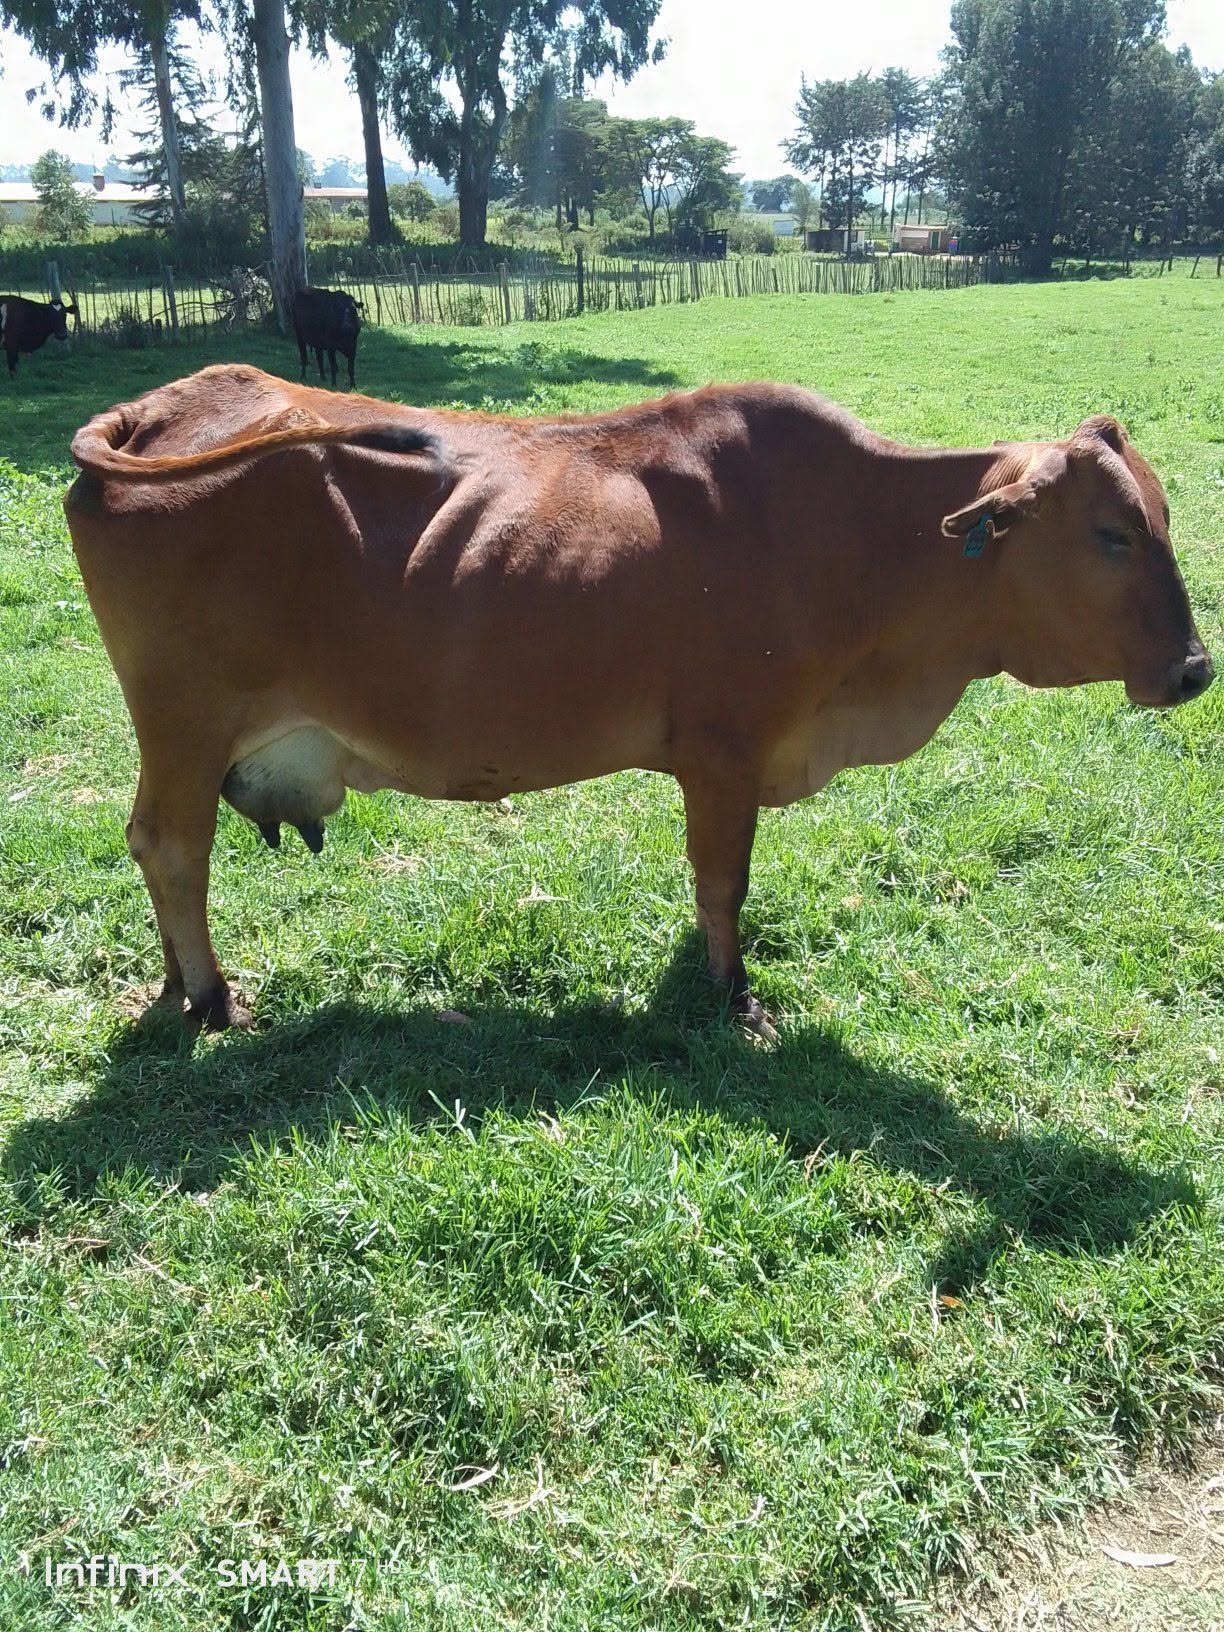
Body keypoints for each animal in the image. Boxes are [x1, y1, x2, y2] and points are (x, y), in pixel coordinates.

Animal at [65, 364, 1213, 1037]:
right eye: (1113, 534)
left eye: (1157, 519)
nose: (1198, 669)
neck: (859, 537)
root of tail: (164, 405)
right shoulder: (723, 753)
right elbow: (723, 882)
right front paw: (730, 995)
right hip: (184, 721)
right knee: (171, 844)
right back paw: (209, 993)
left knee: (155, 846)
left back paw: (173, 982)